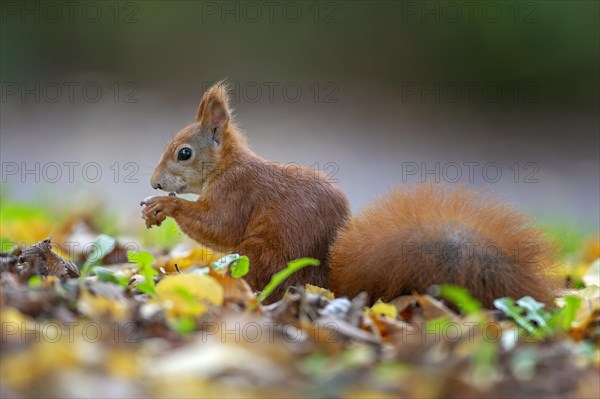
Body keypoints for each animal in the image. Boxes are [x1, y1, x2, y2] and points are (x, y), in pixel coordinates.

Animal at [143, 80, 560, 306]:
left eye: (184, 153)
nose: (154, 182)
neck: (228, 166)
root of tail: (327, 285)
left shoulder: (238, 193)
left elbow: (219, 226)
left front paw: (164, 206)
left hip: (261, 255)